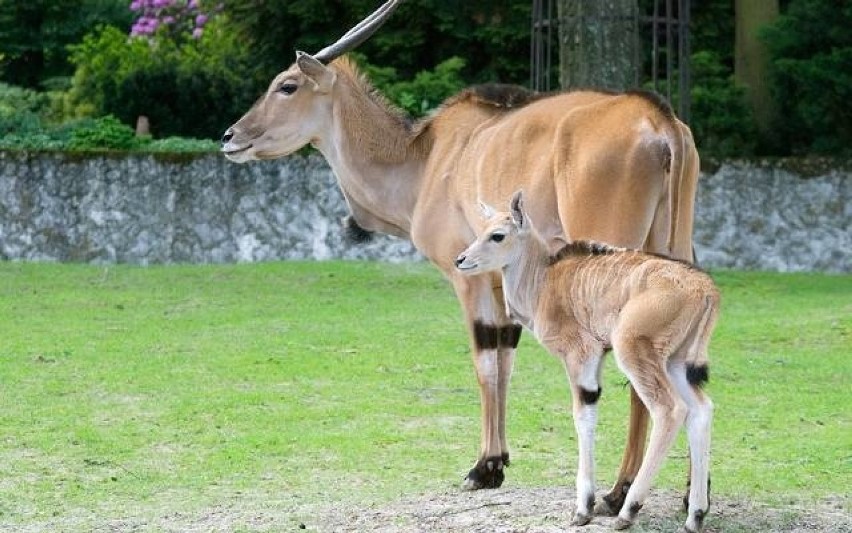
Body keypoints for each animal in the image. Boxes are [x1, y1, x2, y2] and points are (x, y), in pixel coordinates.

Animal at [221, 0, 700, 510]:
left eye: (287, 85)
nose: (230, 136)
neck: (427, 160)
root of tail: (659, 120)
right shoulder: (504, 284)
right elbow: (506, 358)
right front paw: (500, 460)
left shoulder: (467, 276)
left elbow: (485, 359)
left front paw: (483, 467)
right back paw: (692, 494)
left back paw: (619, 491)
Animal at [456, 189, 716, 528]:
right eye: (480, 231)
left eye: (497, 235)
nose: (460, 260)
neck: (545, 280)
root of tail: (706, 289)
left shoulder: (580, 356)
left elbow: (583, 417)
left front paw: (583, 507)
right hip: (674, 363)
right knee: (701, 410)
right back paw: (695, 514)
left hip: (635, 353)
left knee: (670, 409)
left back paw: (629, 510)